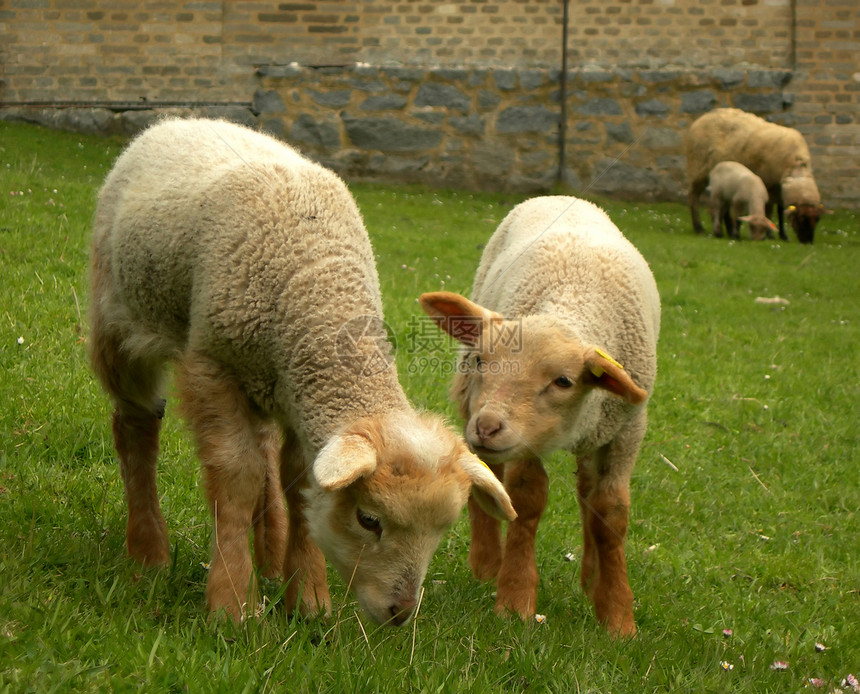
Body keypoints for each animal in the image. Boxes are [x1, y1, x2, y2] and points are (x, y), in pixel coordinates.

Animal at [90, 117, 512, 628]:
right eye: (368, 519)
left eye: (443, 531)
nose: (399, 613)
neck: (318, 281)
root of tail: (185, 119)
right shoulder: (212, 366)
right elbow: (236, 477)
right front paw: (232, 604)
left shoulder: (296, 389)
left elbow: (300, 481)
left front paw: (308, 600)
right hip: (120, 316)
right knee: (135, 426)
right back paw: (149, 552)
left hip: (263, 380)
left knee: (262, 448)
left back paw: (271, 557)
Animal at [420, 197, 660, 640]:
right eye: (481, 360)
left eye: (563, 381)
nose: (486, 426)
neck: (573, 300)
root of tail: (565, 197)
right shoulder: (523, 438)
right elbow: (527, 498)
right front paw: (515, 599)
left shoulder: (627, 430)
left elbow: (611, 513)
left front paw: (617, 615)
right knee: (488, 473)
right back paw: (486, 564)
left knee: (586, 491)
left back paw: (591, 577)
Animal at [684, 107, 828, 246]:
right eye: (801, 218)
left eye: (817, 219)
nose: (807, 242)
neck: (796, 166)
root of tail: (703, 117)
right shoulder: (769, 184)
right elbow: (769, 211)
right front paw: (770, 236)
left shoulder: (779, 189)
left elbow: (780, 211)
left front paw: (783, 236)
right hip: (697, 169)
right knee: (693, 197)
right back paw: (699, 228)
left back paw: (729, 231)